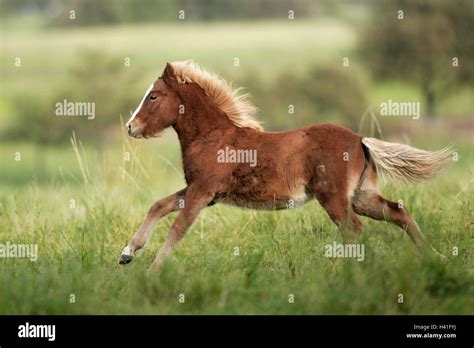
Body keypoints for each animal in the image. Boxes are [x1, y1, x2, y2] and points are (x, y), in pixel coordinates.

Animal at [119, 61, 452, 270]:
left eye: (153, 96)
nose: (130, 127)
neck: (212, 136)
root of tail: (360, 140)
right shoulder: (202, 191)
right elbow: (158, 206)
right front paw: (127, 254)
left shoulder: (202, 191)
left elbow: (178, 228)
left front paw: (152, 271)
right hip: (361, 196)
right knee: (397, 212)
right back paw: (434, 256)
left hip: (333, 196)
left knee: (353, 228)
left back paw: (337, 271)